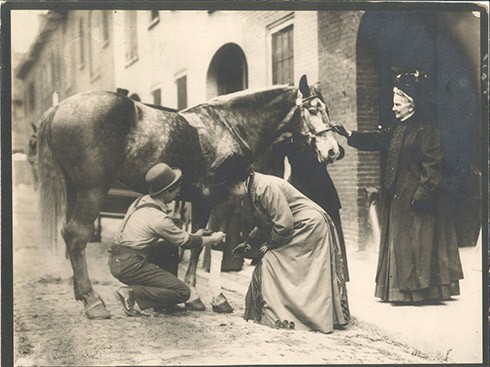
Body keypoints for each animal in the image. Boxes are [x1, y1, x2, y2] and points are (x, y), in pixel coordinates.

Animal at [35, 75, 340, 320]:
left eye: (327, 110)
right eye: (313, 109)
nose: (333, 151)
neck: (230, 124)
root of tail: (59, 108)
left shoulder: (201, 201)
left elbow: (196, 242)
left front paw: (193, 295)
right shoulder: (222, 199)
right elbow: (215, 244)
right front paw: (217, 298)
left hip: (74, 189)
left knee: (69, 234)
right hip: (92, 189)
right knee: (78, 235)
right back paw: (93, 302)